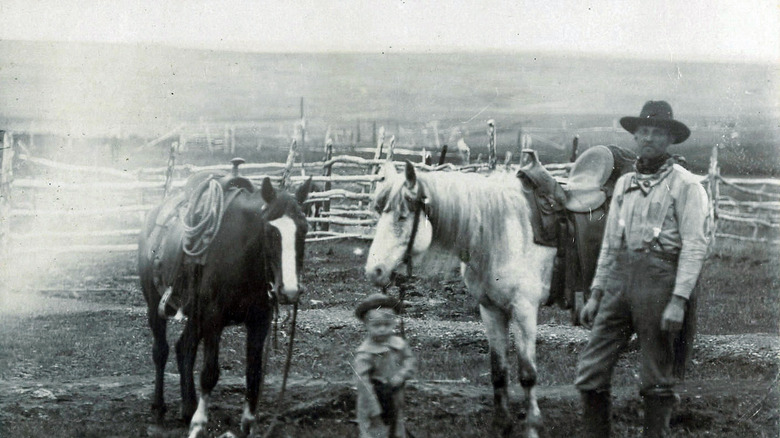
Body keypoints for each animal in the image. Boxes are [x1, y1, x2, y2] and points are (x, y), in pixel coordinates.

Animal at [137, 176, 310, 436]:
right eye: (270, 231)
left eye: (305, 229)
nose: (289, 291)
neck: (241, 254)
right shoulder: (213, 318)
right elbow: (209, 373)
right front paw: (199, 425)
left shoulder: (259, 321)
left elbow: (254, 374)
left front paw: (247, 425)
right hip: (155, 304)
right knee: (161, 351)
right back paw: (159, 409)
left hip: (195, 315)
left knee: (184, 347)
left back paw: (188, 407)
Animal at [364, 162, 556, 438]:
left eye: (402, 216)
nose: (374, 271)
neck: (505, 232)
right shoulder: (491, 310)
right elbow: (498, 371)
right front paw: (502, 425)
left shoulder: (524, 311)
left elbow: (527, 374)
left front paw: (532, 427)